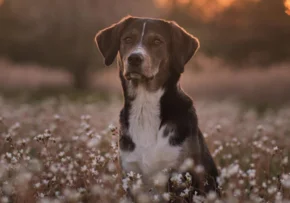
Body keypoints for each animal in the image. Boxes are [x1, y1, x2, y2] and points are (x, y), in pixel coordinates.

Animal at [95, 15, 220, 201]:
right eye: (128, 39)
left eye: (157, 41)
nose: (134, 58)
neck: (145, 106)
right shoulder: (131, 176)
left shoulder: (182, 176)